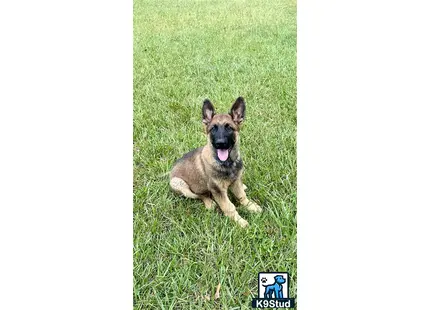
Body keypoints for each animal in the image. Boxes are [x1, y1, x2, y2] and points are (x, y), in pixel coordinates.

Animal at [169, 97, 262, 228]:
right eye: (213, 128)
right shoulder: (217, 190)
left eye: (229, 127)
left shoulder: (236, 180)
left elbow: (241, 196)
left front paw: (251, 206)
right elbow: (229, 207)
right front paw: (240, 222)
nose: (220, 143)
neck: (227, 163)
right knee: (201, 195)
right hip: (179, 184)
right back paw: (210, 203)